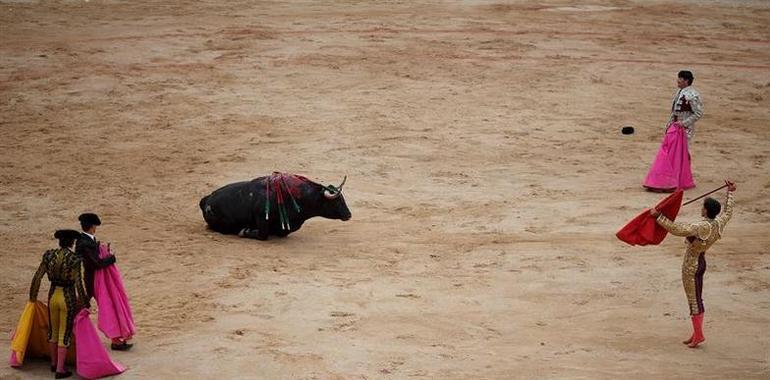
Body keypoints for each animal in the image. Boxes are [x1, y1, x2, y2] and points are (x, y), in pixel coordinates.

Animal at [201, 173, 352, 240]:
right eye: (336, 201)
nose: (349, 215)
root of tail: (206, 200)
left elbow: (283, 231)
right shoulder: (262, 217)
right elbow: (263, 235)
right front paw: (245, 231)